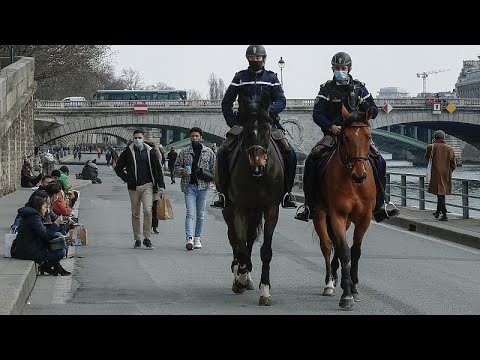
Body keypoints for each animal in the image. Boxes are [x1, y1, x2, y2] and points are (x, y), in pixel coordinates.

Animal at [219, 93, 284, 306]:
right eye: (246, 130)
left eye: (267, 128)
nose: (257, 166)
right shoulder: (239, 208)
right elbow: (240, 247)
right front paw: (240, 278)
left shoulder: (271, 209)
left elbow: (265, 250)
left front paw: (265, 290)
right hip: (230, 210)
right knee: (235, 240)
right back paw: (239, 272)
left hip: (255, 212)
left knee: (248, 239)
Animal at [314, 103, 376, 310]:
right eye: (345, 138)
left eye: (369, 137)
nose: (360, 175)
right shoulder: (337, 214)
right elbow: (344, 251)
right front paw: (346, 294)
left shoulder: (364, 217)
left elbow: (355, 252)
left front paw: (353, 288)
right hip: (319, 213)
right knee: (327, 245)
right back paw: (329, 282)